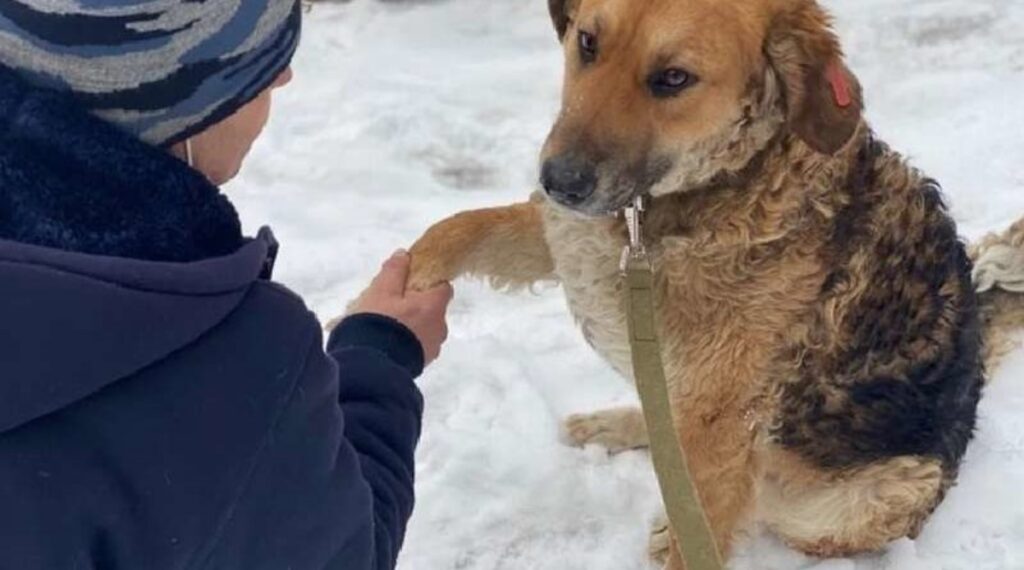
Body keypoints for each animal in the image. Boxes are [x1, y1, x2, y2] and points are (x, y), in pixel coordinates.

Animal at [403, 0, 1019, 560]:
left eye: (674, 78)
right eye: (588, 43)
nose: (560, 181)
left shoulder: (721, 423)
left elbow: (698, 529)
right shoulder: (570, 239)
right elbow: (463, 228)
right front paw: (403, 289)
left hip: (860, 499)